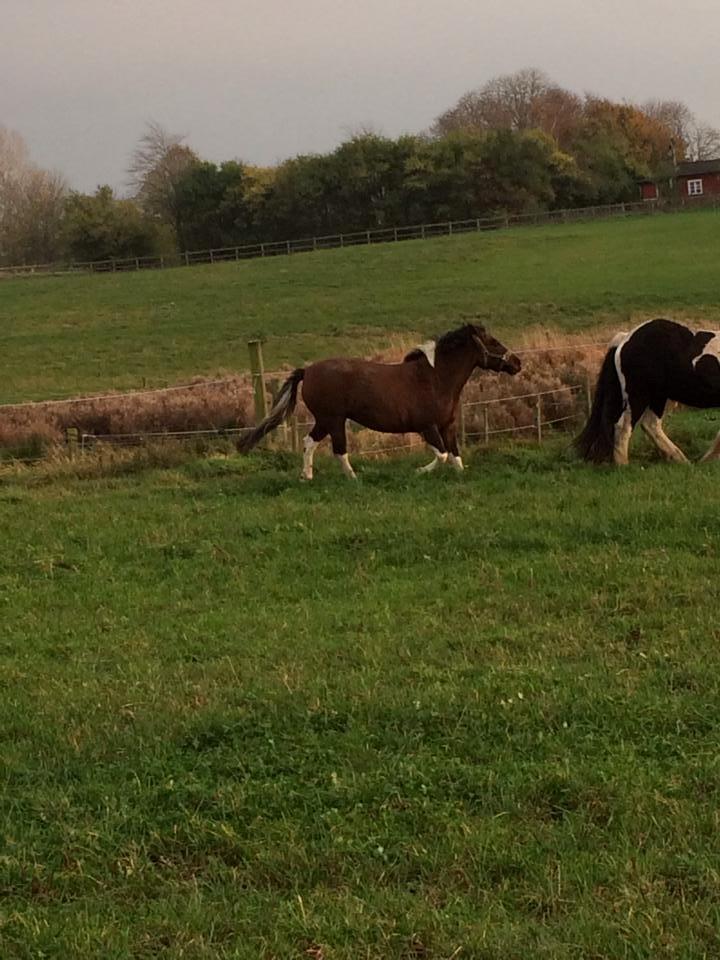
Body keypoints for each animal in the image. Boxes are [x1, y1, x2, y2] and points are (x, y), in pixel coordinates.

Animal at [239, 324, 520, 478]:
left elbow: (455, 457)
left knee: (310, 442)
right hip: (334, 420)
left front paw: (459, 476)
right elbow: (441, 455)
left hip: (325, 420)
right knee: (338, 450)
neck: (436, 378)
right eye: (493, 341)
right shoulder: (427, 427)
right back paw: (353, 478)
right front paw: (418, 471)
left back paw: (306, 476)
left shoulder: (447, 426)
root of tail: (307, 371)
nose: (517, 363)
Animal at [572, 320, 720, 466]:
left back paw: (680, 459)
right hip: (638, 396)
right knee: (624, 426)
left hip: (657, 396)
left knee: (650, 425)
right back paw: (623, 465)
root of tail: (625, 339)